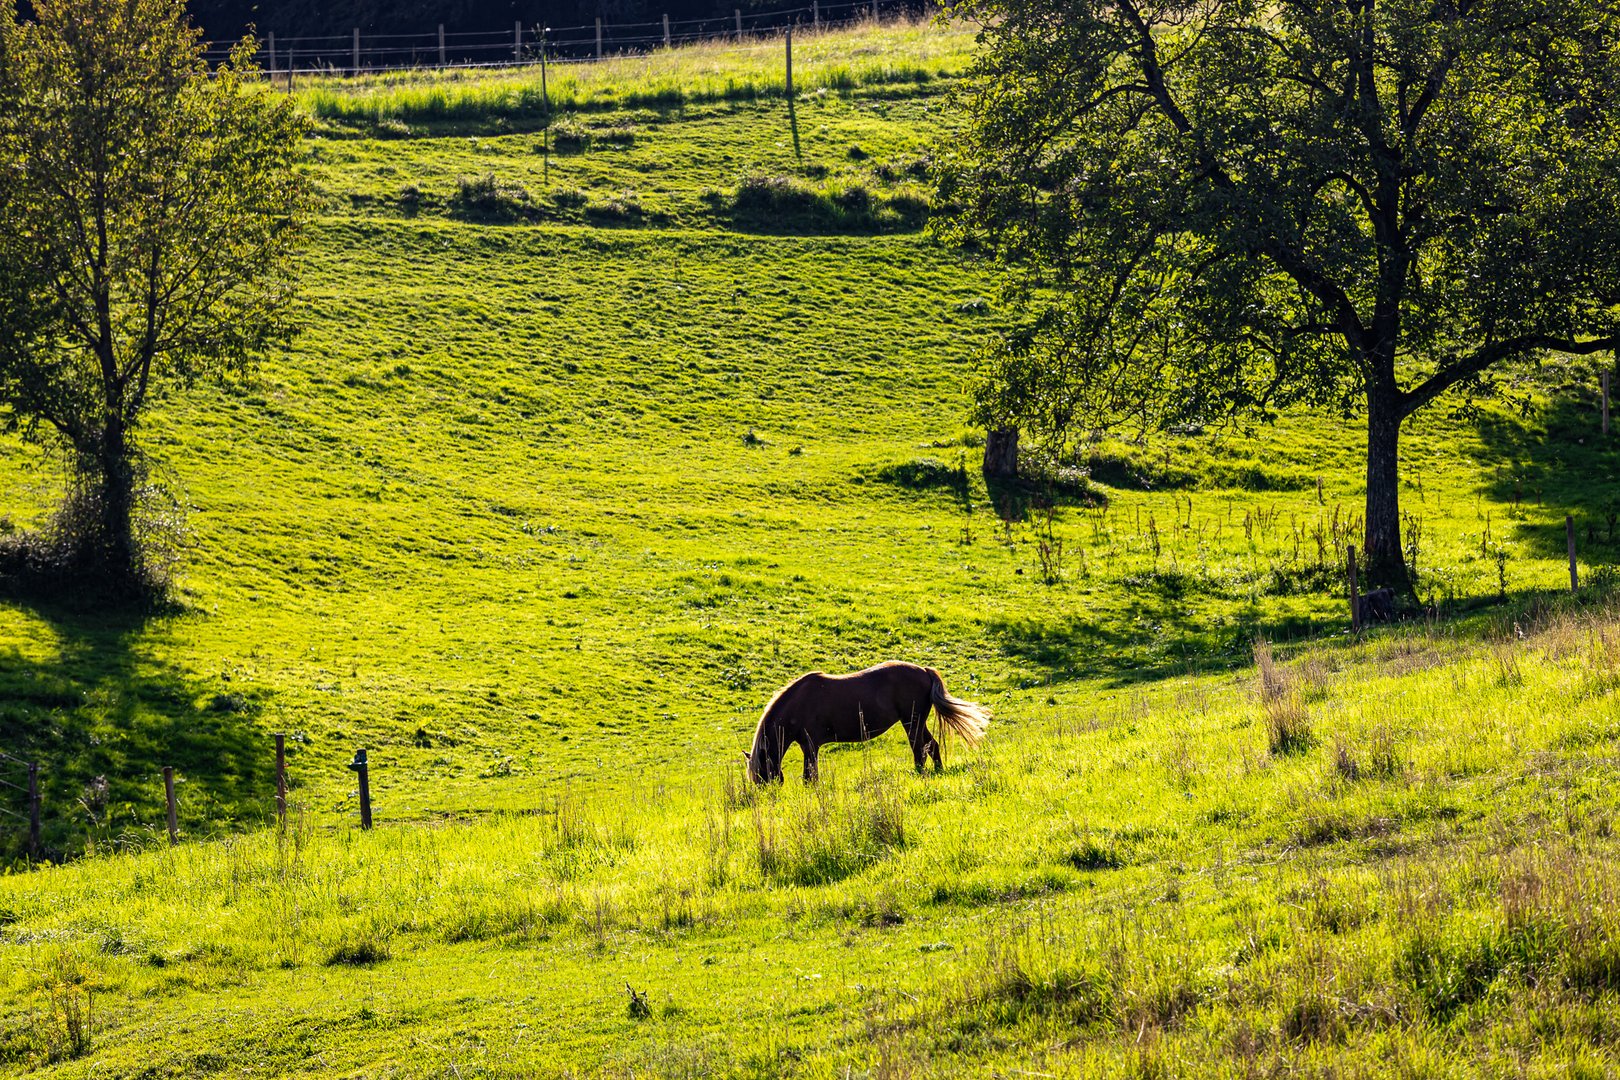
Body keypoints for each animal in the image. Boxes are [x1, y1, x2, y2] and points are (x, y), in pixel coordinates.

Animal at [741, 660, 984, 786]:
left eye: (761, 775)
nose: (770, 797)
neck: (798, 702)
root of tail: (924, 671)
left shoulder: (810, 745)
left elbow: (810, 775)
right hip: (917, 722)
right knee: (931, 745)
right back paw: (938, 771)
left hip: (911, 722)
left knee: (919, 749)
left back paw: (920, 774)